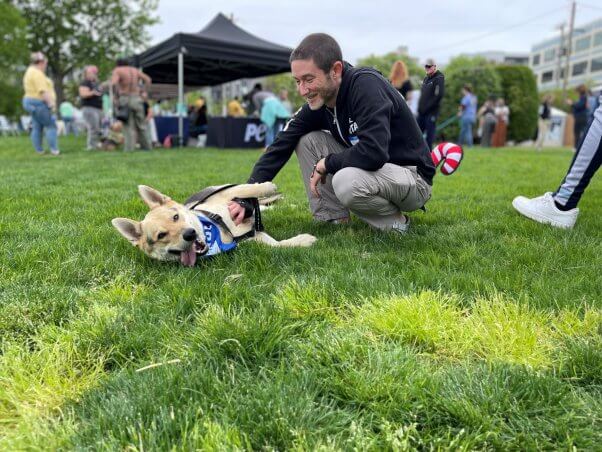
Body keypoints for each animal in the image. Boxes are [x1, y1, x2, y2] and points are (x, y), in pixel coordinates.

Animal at [111, 183, 314, 266]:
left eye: (175, 217)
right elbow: (280, 245)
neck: (218, 231)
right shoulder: (252, 240)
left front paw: (267, 185)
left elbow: (247, 187)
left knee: (263, 203)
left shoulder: (227, 194)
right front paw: (303, 240)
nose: (189, 234)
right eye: (161, 236)